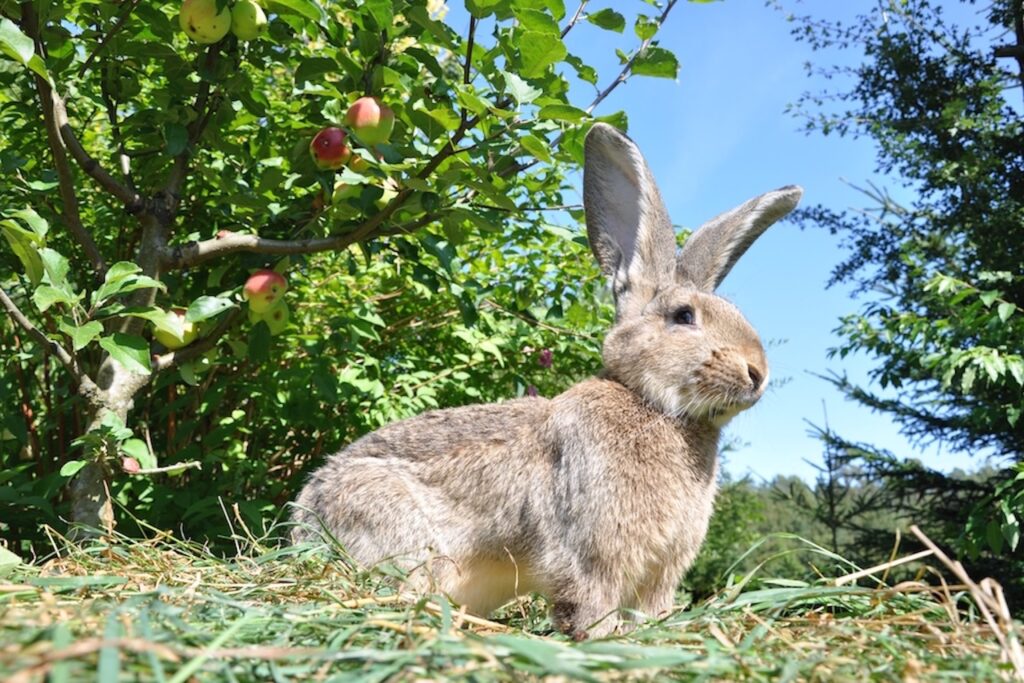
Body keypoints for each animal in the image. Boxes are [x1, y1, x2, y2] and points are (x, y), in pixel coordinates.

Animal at [290, 122, 802, 640]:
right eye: (683, 316)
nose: (758, 374)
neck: (651, 404)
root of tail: (303, 517)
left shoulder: (660, 572)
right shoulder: (592, 555)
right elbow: (590, 602)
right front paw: (602, 638)